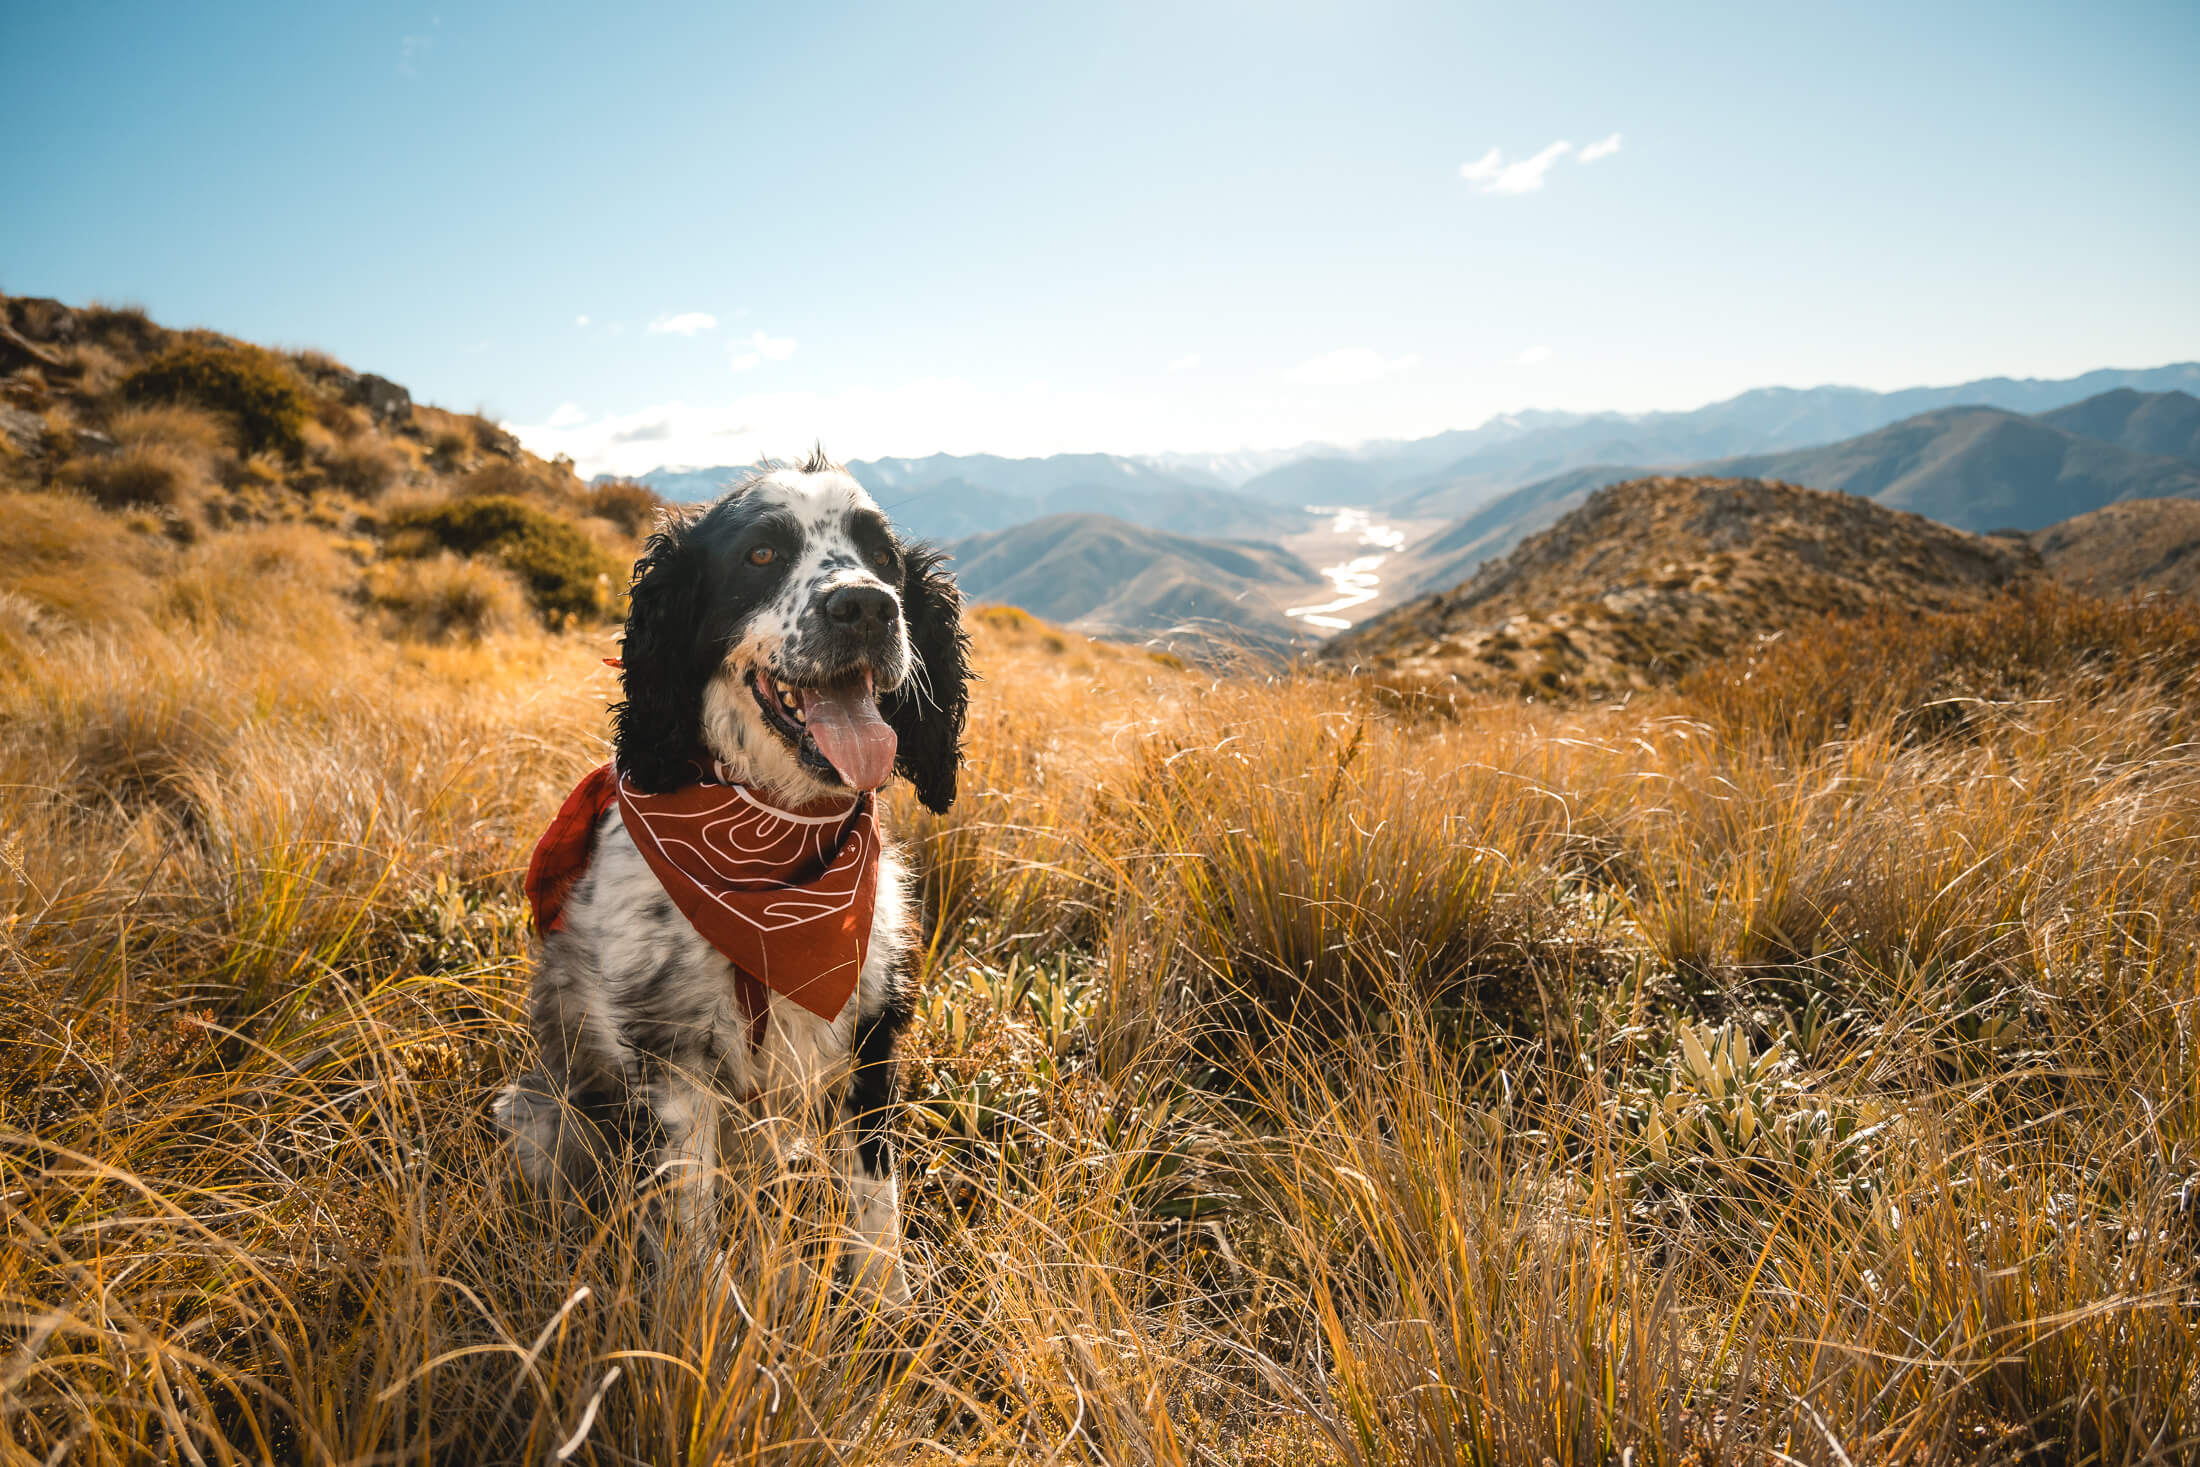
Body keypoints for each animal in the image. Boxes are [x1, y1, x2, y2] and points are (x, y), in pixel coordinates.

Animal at [506, 453, 972, 1302]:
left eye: (884, 556)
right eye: (761, 553)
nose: (866, 605)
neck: (769, 852)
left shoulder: (873, 1027)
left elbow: (875, 1194)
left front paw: (885, 1305)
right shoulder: (672, 1053)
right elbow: (690, 1218)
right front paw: (701, 1314)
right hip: (542, 1115)